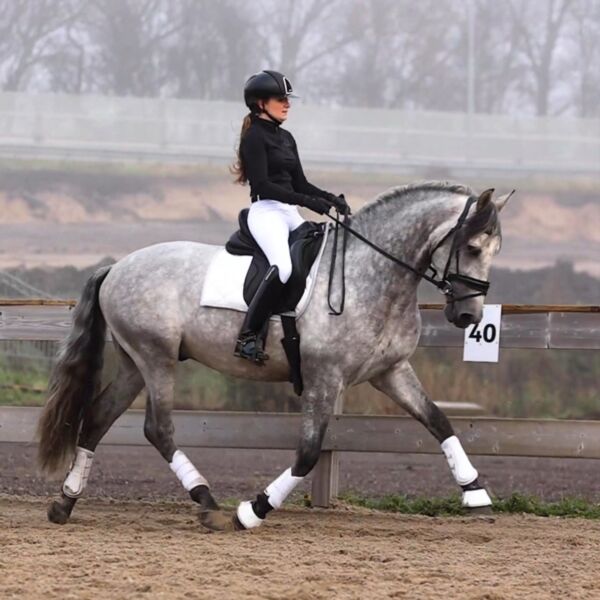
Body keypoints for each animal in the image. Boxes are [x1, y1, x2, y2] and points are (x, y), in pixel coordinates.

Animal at [37, 181, 510, 532]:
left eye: (495, 250)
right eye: (471, 248)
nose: (467, 315)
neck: (371, 276)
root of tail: (116, 267)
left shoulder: (390, 371)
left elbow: (438, 421)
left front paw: (476, 493)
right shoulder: (324, 378)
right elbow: (308, 452)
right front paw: (251, 512)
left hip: (135, 362)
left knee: (98, 418)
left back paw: (65, 503)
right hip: (156, 358)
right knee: (158, 428)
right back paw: (206, 501)